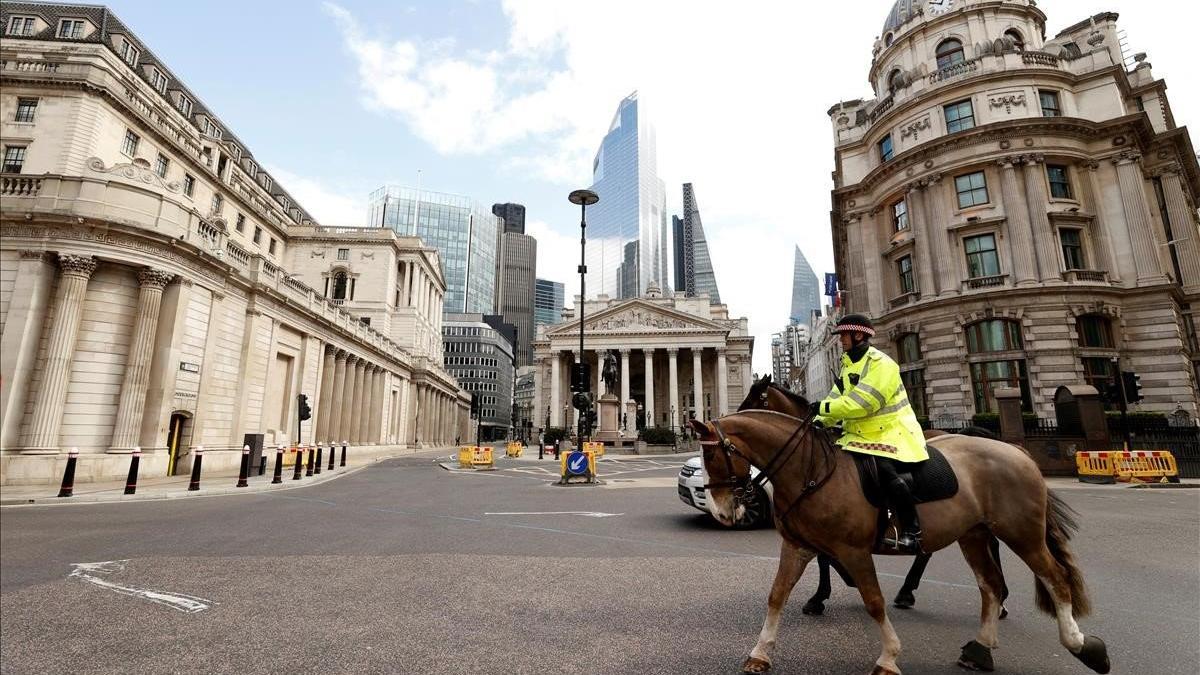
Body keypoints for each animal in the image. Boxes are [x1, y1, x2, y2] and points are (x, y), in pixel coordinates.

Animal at [691, 408, 1108, 667]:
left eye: (714, 457)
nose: (722, 512)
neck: (811, 469)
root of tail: (1018, 451)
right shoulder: (798, 546)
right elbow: (777, 595)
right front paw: (760, 653)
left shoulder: (854, 550)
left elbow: (874, 601)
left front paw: (889, 657)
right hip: (974, 534)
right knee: (990, 584)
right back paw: (980, 649)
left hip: (1022, 532)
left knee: (1055, 577)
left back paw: (1081, 645)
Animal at [734, 372, 1008, 614]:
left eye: (756, 398)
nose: (734, 417)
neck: (815, 454)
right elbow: (824, 555)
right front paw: (831, 588)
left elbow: (824, 557)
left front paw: (822, 594)